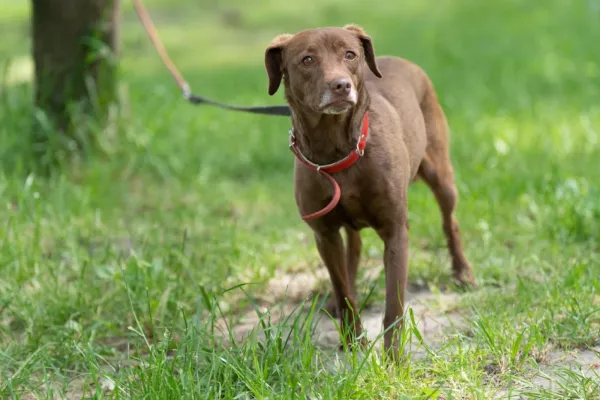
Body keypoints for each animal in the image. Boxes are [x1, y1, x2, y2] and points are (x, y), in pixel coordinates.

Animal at [264, 24, 476, 356]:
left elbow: (394, 306)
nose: (340, 85)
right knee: (353, 251)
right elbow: (344, 292)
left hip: (441, 177)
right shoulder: (324, 234)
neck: (337, 151)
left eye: (350, 54)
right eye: (307, 59)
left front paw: (393, 358)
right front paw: (353, 342)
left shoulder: (396, 231)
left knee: (449, 222)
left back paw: (463, 274)